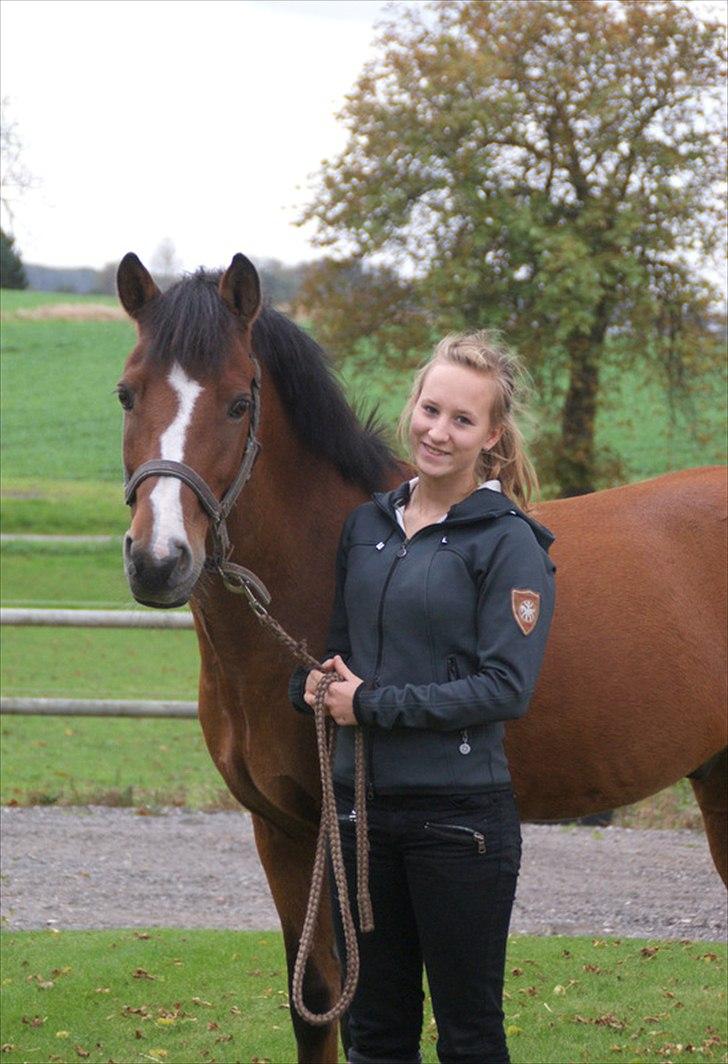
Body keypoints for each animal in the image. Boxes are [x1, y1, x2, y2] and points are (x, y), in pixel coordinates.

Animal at [116, 251, 727, 1064]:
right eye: (128, 393)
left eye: (240, 404)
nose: (159, 560)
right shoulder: (282, 831)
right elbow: (317, 1003)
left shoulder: (335, 831)